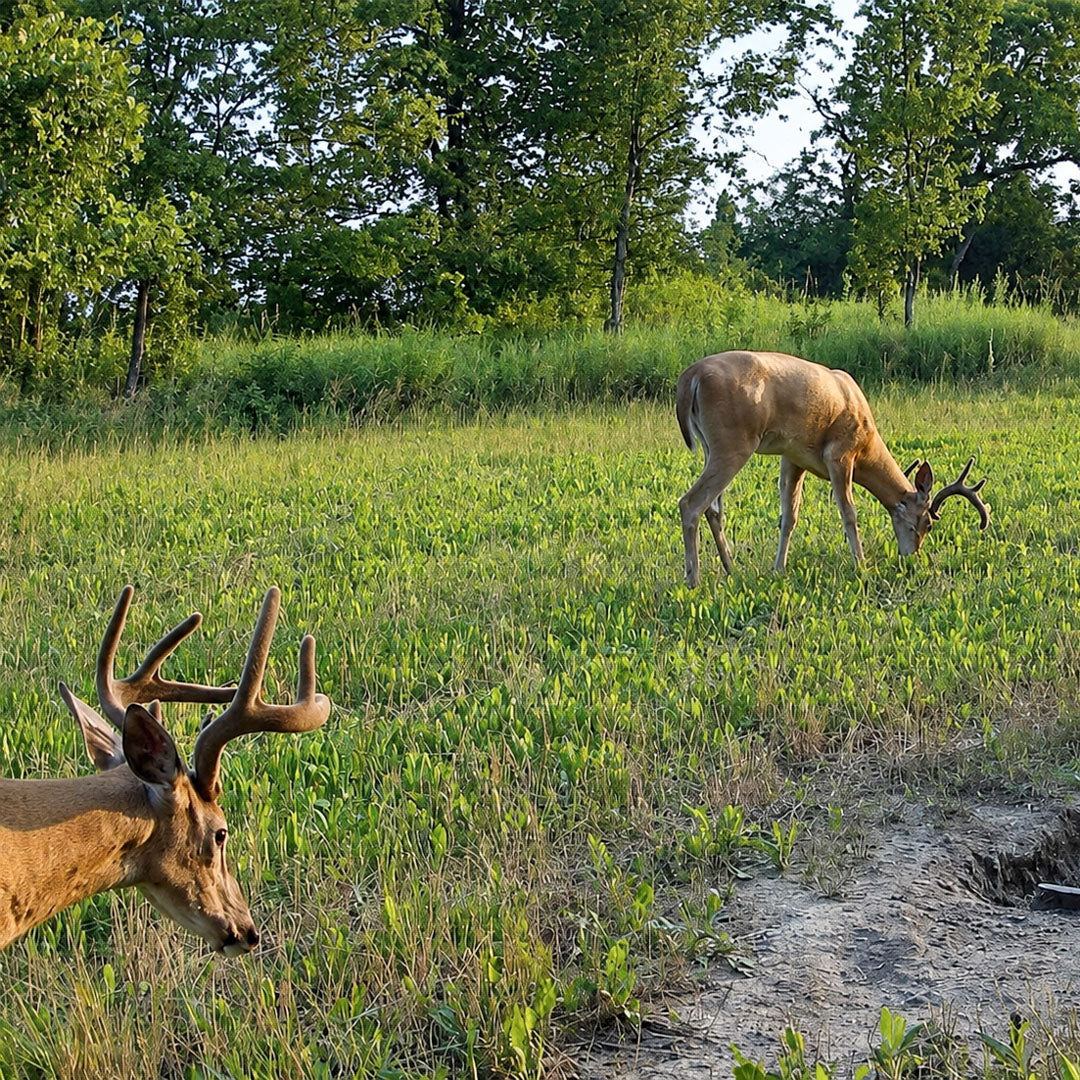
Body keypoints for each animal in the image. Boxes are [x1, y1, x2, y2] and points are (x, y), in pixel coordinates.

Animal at [676, 350, 991, 586]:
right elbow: (849, 513)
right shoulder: (840, 453)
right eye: (928, 523)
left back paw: (731, 568)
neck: (867, 444)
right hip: (734, 441)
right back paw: (694, 580)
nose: (911, 555)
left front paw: (778, 569)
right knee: (690, 502)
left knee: (713, 508)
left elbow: (789, 517)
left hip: (712, 446)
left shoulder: (793, 458)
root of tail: (690, 378)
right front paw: (861, 565)